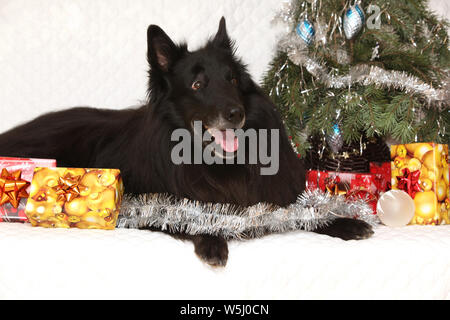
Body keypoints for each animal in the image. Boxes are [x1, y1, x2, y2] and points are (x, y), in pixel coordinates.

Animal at [0, 18, 372, 266]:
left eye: (232, 79)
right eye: (197, 85)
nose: (236, 114)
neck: (215, 160)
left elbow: (305, 210)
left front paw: (345, 222)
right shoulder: (149, 202)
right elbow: (187, 214)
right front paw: (212, 240)